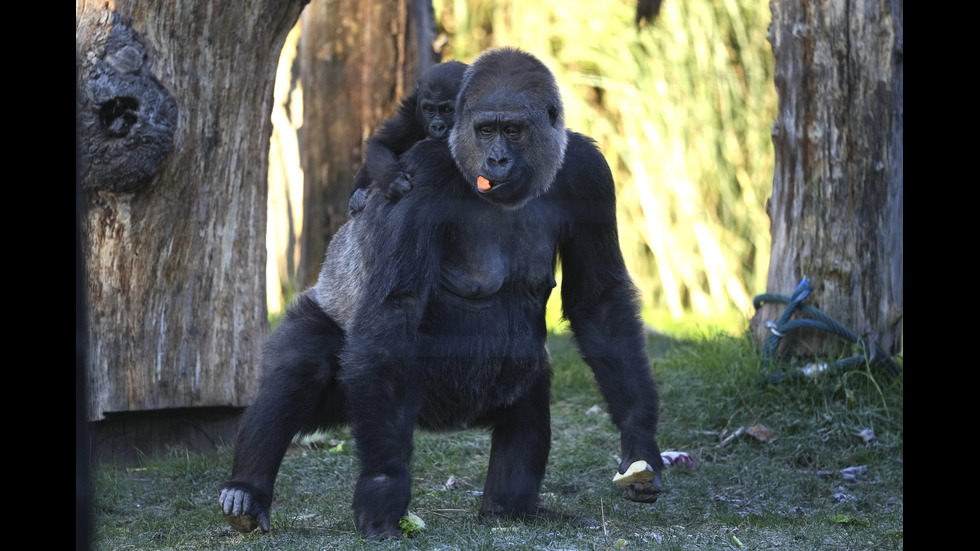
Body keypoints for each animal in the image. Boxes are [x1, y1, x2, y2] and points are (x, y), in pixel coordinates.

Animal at [346, 60, 468, 216]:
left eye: (447, 110)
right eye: (429, 109)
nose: (437, 126)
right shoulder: (411, 110)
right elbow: (381, 143)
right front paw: (394, 182)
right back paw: (358, 195)